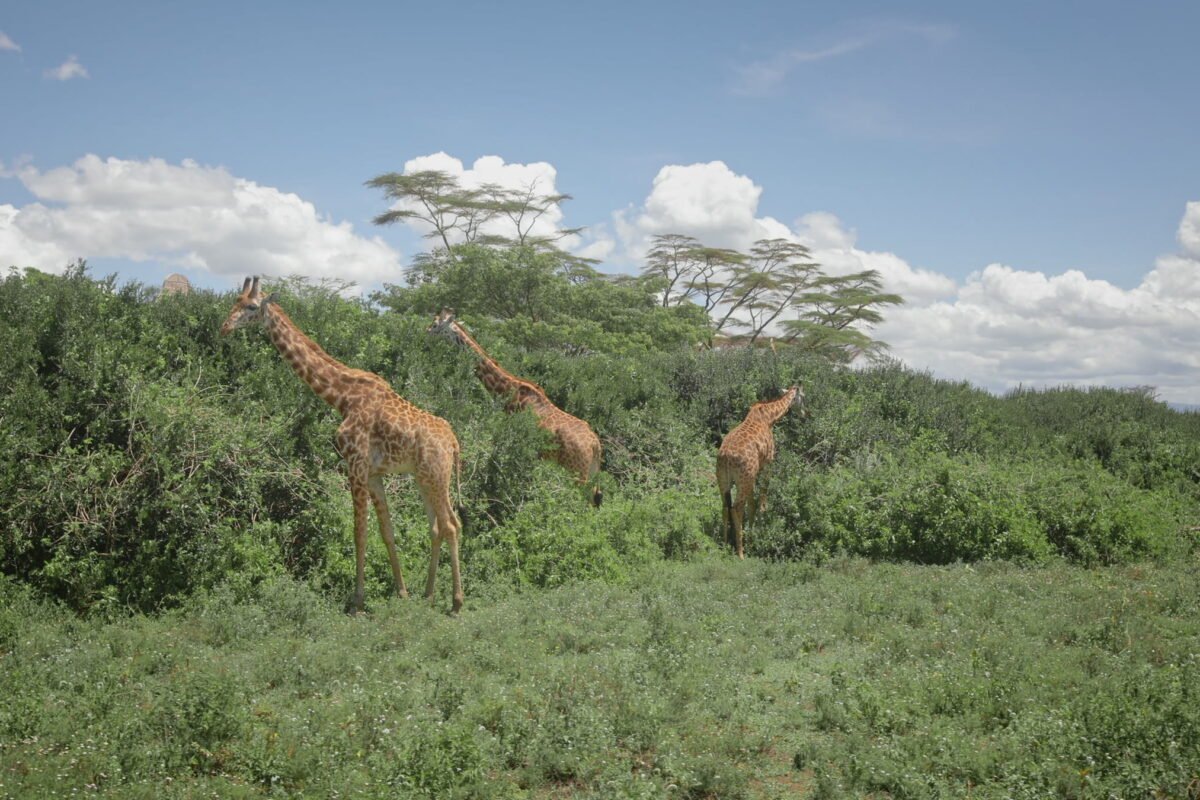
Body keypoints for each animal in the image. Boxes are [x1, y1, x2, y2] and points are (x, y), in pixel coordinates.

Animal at [221, 277, 465, 613]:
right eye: (235, 301)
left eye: (252, 307)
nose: (224, 327)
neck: (342, 397)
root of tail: (453, 442)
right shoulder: (373, 474)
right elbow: (386, 532)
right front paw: (402, 592)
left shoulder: (355, 464)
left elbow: (359, 533)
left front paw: (357, 602)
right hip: (423, 477)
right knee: (438, 526)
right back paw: (427, 595)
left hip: (437, 475)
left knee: (452, 525)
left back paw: (456, 602)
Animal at [427, 308, 603, 506]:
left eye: (435, 325)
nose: (425, 333)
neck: (509, 391)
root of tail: (595, 444)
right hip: (591, 471)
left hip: (576, 472)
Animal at [716, 385, 805, 558]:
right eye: (803, 397)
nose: (805, 414)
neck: (769, 417)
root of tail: (726, 458)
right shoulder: (768, 462)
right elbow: (762, 498)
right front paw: (760, 525)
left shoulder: (753, 474)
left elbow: (752, 503)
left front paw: (752, 534)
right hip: (743, 479)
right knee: (736, 508)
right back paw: (740, 552)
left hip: (724, 479)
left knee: (725, 506)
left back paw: (725, 544)